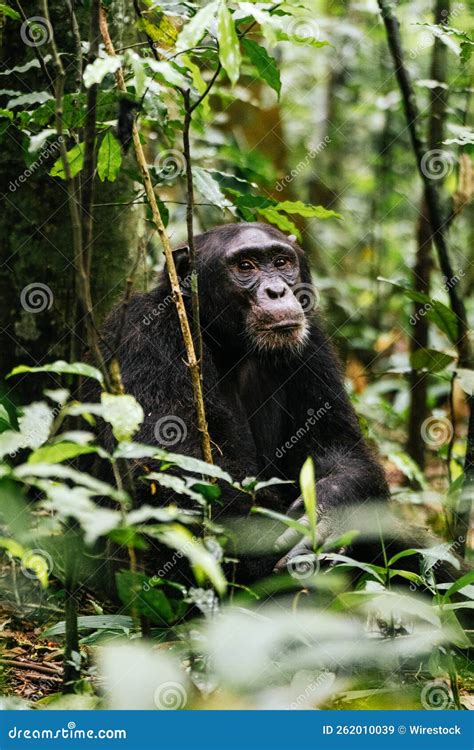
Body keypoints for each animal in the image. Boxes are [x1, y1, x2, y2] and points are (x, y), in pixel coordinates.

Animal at [98, 222, 390, 576]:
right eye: (245, 266)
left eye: (281, 262)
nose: (276, 291)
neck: (228, 345)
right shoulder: (145, 338)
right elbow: (169, 472)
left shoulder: (313, 345)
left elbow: (342, 452)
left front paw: (327, 512)